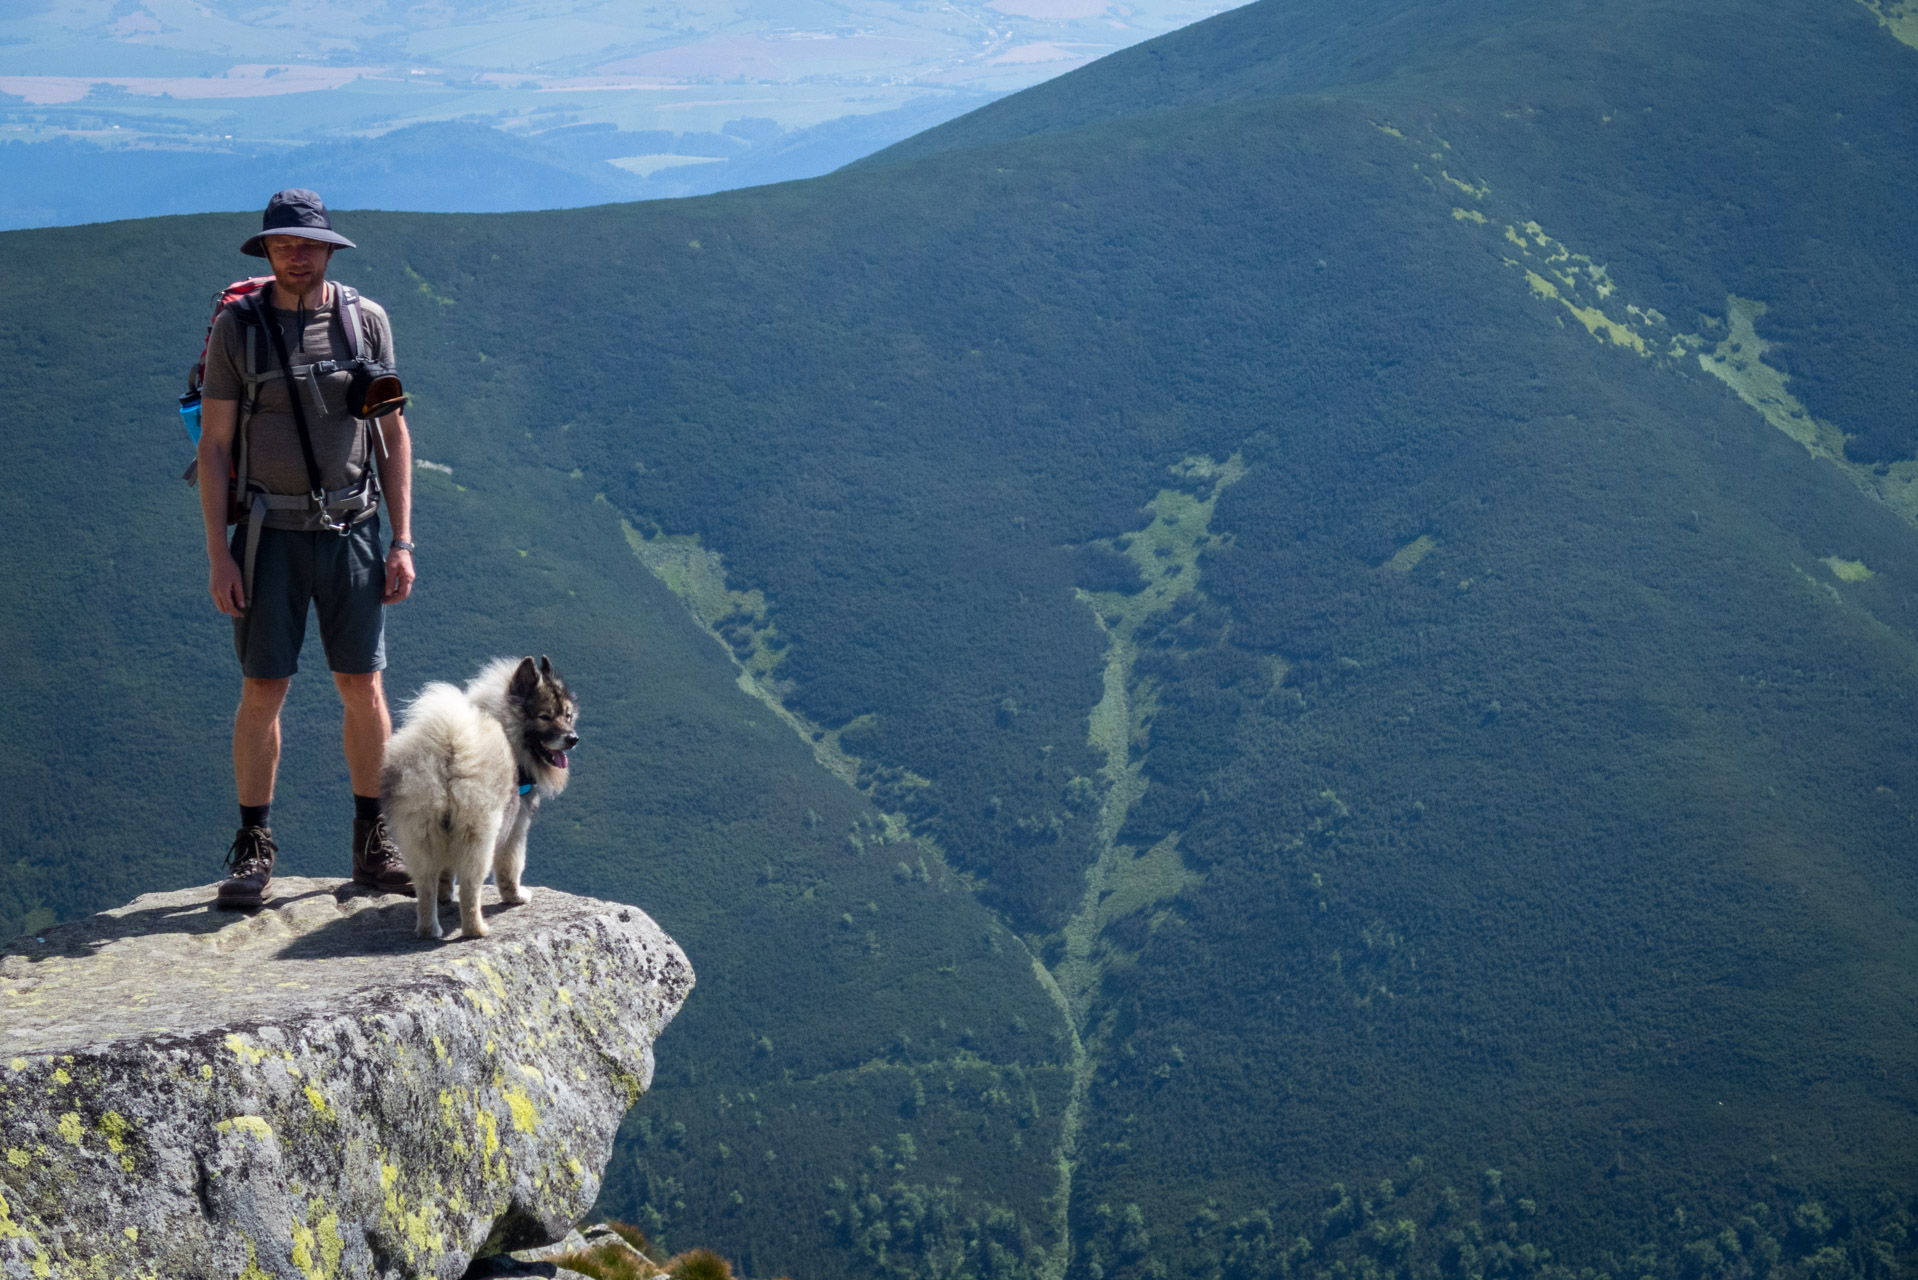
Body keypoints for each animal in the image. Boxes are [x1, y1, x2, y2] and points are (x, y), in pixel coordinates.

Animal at [381, 656, 575, 936]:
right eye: (545, 716)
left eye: (567, 715)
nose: (572, 738)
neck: (507, 729)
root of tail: (450, 750)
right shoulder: (515, 827)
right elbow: (510, 867)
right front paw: (515, 896)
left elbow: (445, 872)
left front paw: (445, 895)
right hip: (478, 834)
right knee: (471, 887)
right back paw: (476, 929)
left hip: (419, 830)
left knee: (425, 883)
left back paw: (429, 929)